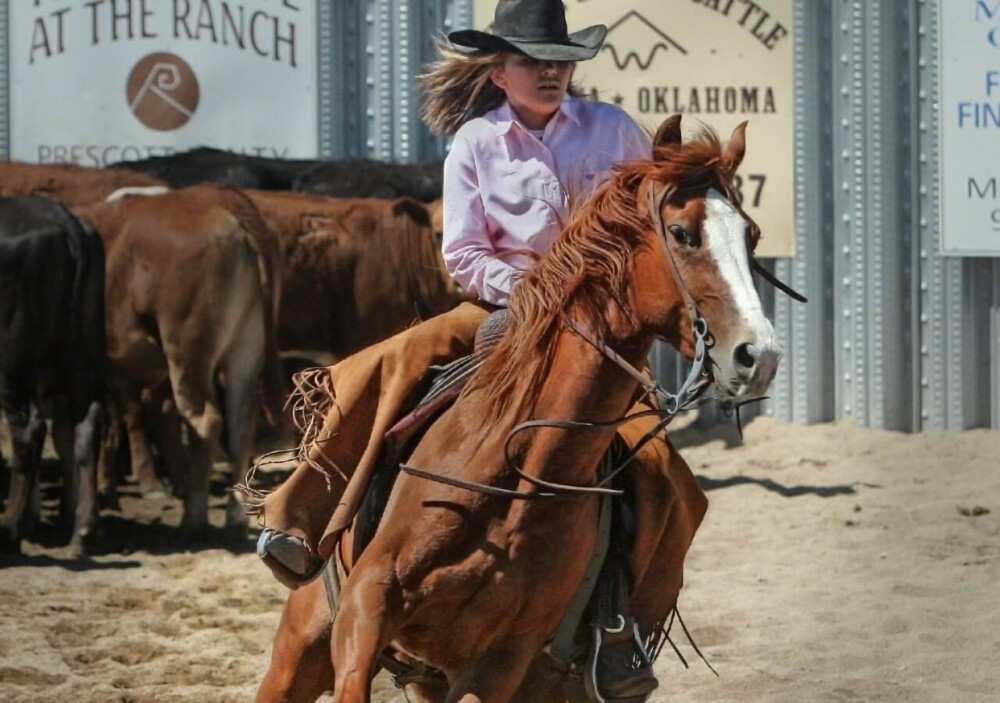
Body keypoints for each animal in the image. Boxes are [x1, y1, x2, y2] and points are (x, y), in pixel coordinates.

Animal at [0, 194, 106, 556]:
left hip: (13, 369)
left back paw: (10, 527)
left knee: (27, 433)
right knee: (87, 427)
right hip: (84, 362)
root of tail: (58, 214)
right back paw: (82, 531)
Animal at [76, 187, 288, 540]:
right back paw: (234, 515)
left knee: (206, 421)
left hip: (187, 348)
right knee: (241, 424)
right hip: (246, 348)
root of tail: (218, 197)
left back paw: (193, 517)